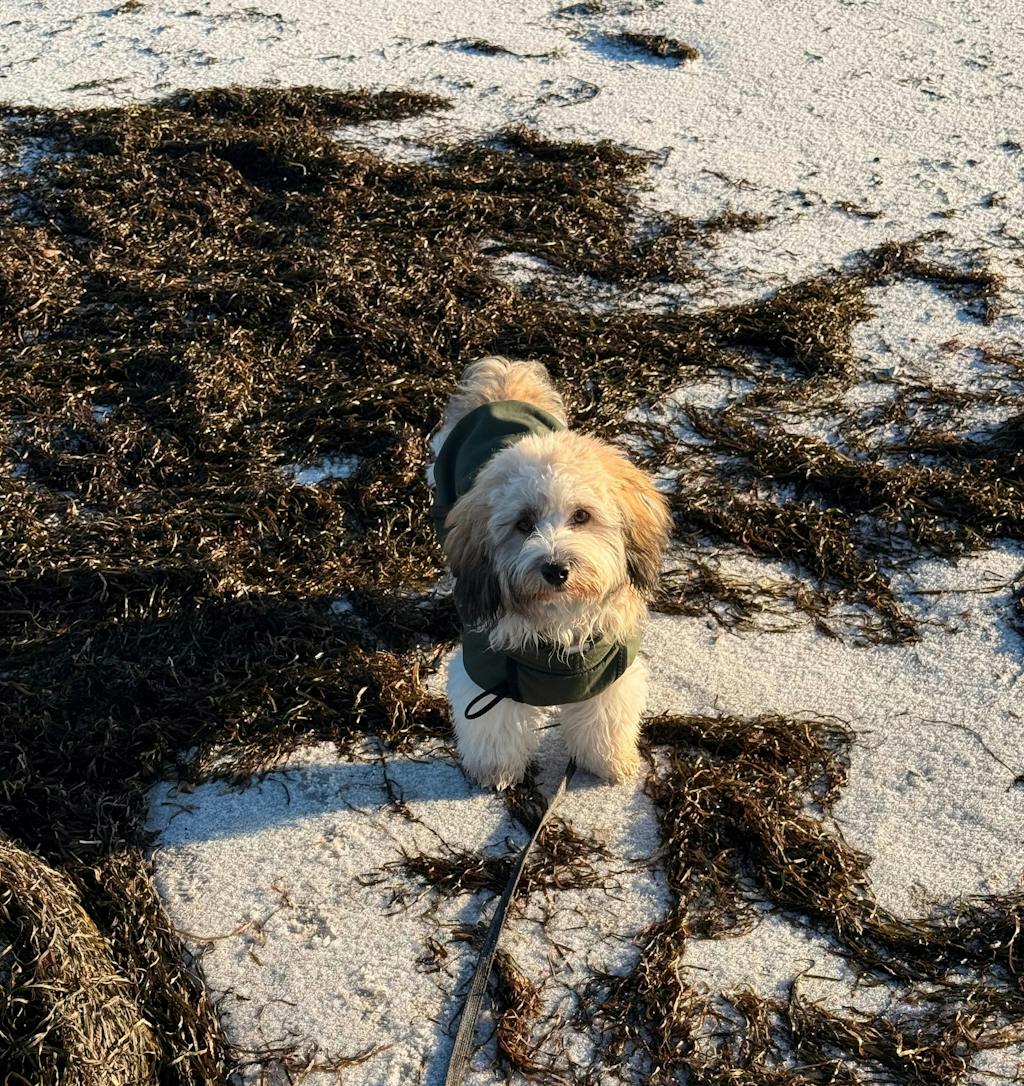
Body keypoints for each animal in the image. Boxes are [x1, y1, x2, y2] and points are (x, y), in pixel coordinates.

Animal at [429, 356, 671, 789]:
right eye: (523, 524)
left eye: (582, 516)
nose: (556, 570)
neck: (560, 619)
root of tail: (504, 378)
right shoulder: (487, 672)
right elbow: (495, 730)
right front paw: (496, 772)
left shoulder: (609, 671)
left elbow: (604, 722)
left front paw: (609, 761)